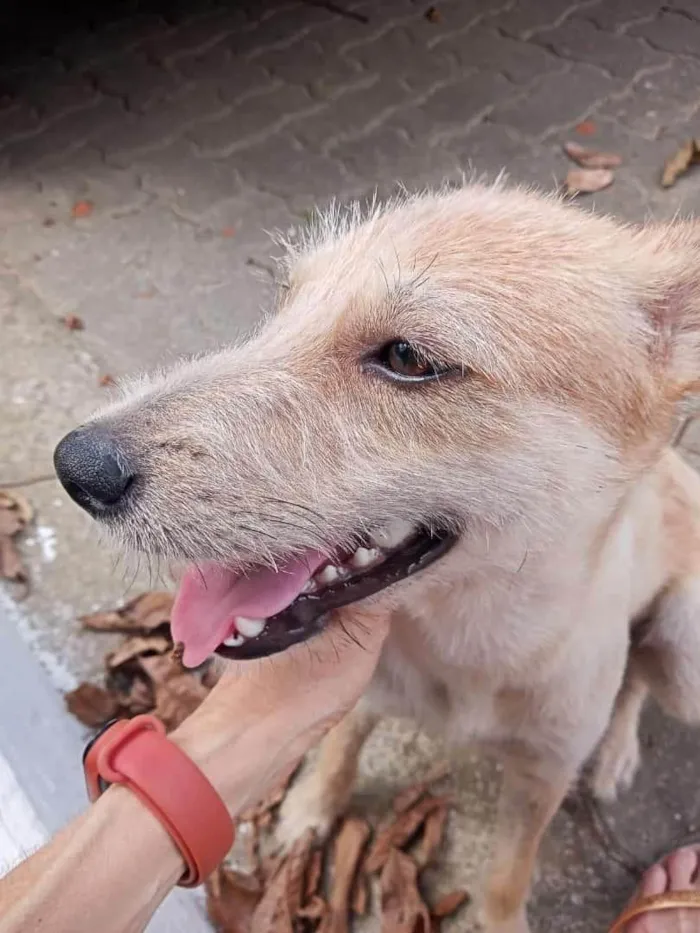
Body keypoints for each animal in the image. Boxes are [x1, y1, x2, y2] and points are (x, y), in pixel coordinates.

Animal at [56, 184, 700, 932]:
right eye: (286, 303)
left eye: (409, 357)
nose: (75, 468)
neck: (469, 646)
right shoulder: (363, 692)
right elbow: (339, 751)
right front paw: (309, 810)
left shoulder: (543, 775)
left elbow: (510, 872)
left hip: (685, 653)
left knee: (640, 681)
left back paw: (618, 750)